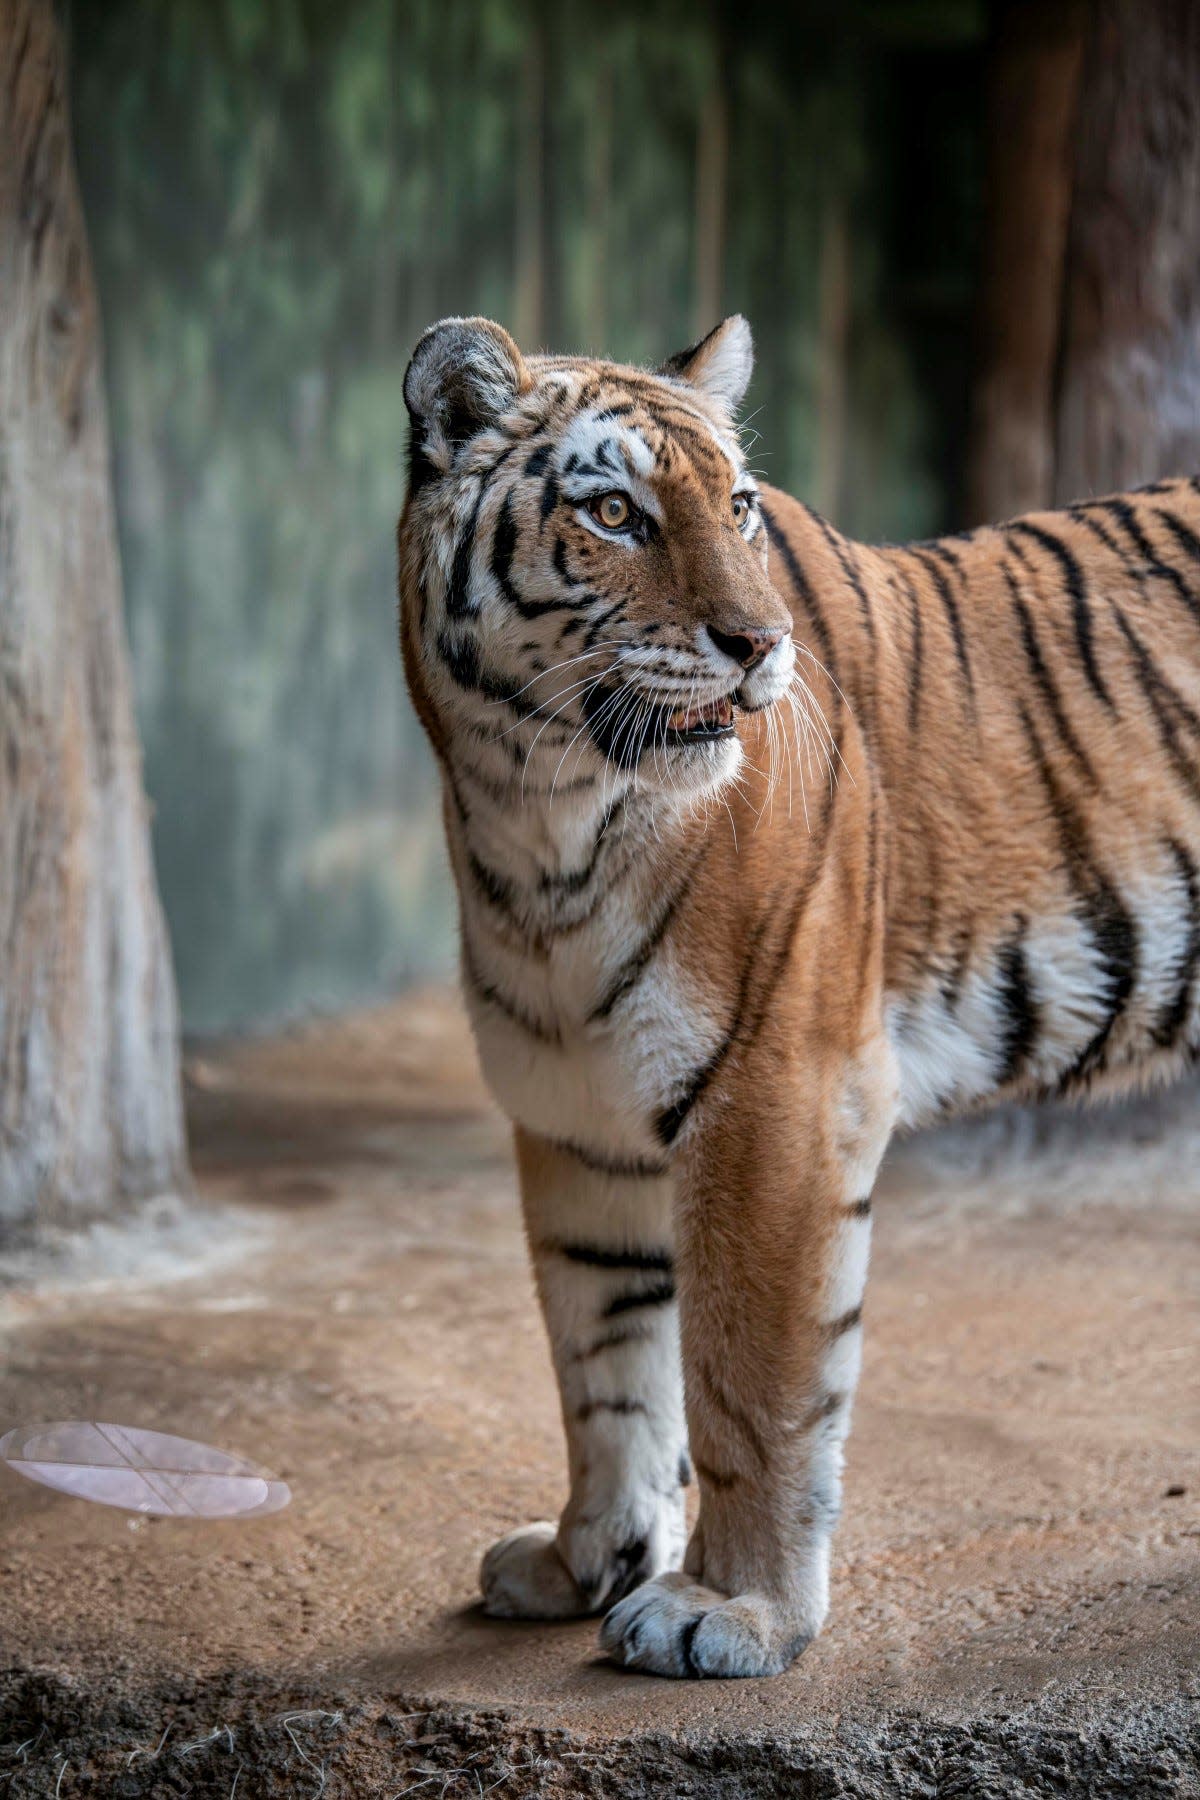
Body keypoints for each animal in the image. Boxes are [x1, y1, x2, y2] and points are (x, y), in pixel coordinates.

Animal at [399, 316, 1200, 1677]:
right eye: (613, 512)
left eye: (737, 506)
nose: (757, 646)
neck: (539, 817)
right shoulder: (574, 1117)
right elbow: (601, 1365)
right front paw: (587, 1559)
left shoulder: (776, 1096)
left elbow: (747, 1379)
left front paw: (732, 1611)